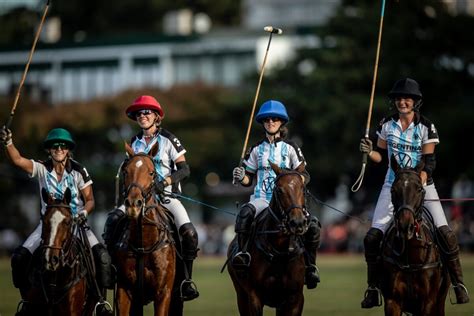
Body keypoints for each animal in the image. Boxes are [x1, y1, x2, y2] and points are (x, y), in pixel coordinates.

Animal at [114, 144, 177, 316]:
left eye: (151, 172)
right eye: (125, 171)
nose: (133, 204)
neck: (144, 244)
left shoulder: (164, 293)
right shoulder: (124, 290)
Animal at [228, 163, 310, 316]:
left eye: (303, 188)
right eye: (279, 189)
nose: (297, 223)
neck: (279, 249)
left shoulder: (295, 298)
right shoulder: (254, 296)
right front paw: (239, 174)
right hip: (240, 294)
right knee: (247, 211)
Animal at [380, 160, 450, 316]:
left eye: (419, 189)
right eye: (393, 190)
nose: (406, 226)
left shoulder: (429, 302)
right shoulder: (392, 302)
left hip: (441, 300)